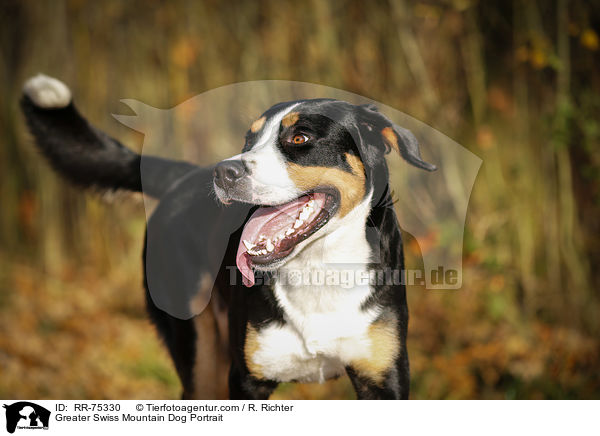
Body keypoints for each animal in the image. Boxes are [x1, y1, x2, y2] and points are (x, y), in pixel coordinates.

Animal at [21, 74, 436, 398]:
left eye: (300, 138)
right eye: (248, 142)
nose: (224, 172)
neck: (318, 270)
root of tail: (184, 177)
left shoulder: (384, 377)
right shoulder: (246, 380)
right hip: (200, 355)